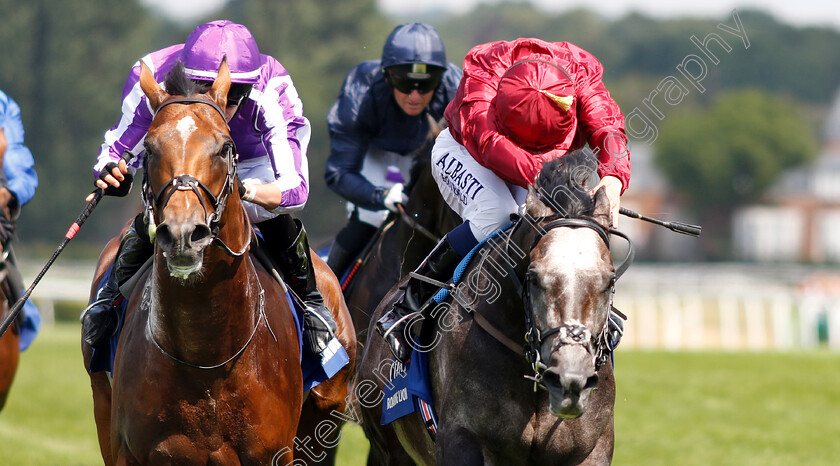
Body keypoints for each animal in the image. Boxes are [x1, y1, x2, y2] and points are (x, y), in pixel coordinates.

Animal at [80, 60, 352, 464]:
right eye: (150, 147)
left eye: (224, 148)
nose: (182, 233)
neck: (207, 358)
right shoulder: (131, 450)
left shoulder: (277, 451)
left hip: (326, 415)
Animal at [360, 151, 632, 464]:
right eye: (533, 278)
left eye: (610, 280)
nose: (570, 378)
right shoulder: (462, 438)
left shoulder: (591, 450)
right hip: (387, 447)